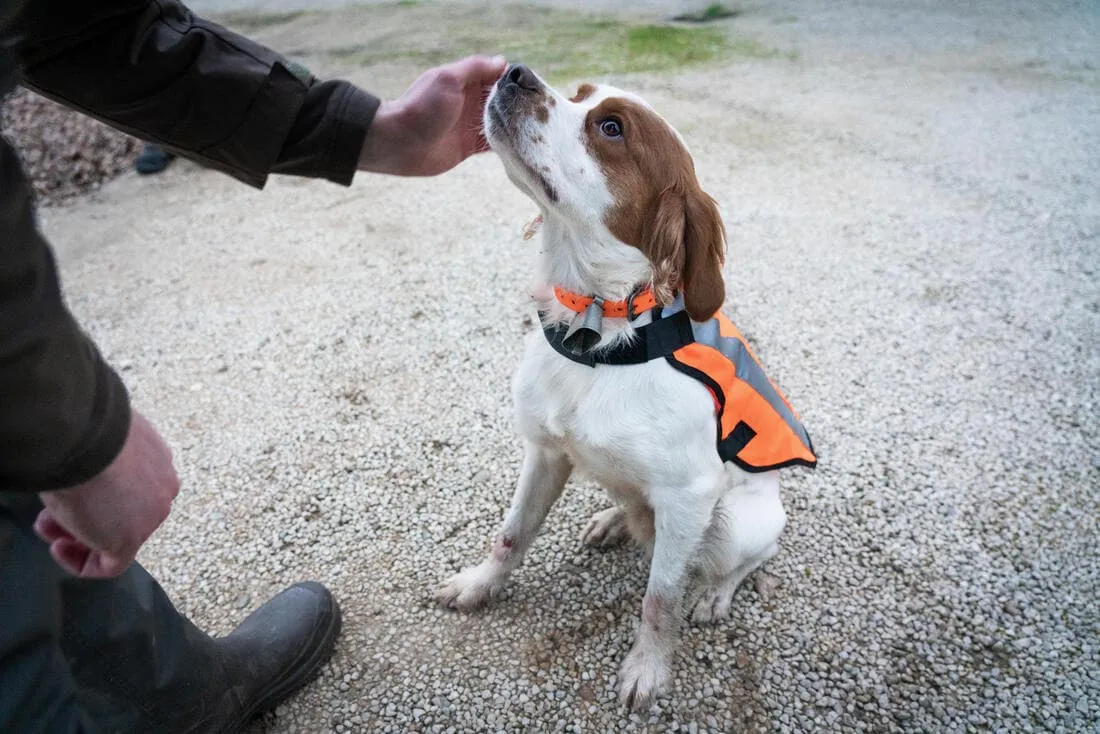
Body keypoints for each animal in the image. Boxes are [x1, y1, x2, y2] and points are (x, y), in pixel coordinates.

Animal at [437, 64, 818, 713]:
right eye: (578, 94)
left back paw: (716, 593)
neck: (599, 332)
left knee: (748, 558)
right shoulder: (545, 453)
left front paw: (648, 669)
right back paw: (614, 521)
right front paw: (479, 586)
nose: (515, 72)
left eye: (610, 128)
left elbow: (660, 599)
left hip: (735, 521)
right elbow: (510, 535)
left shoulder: (690, 496)